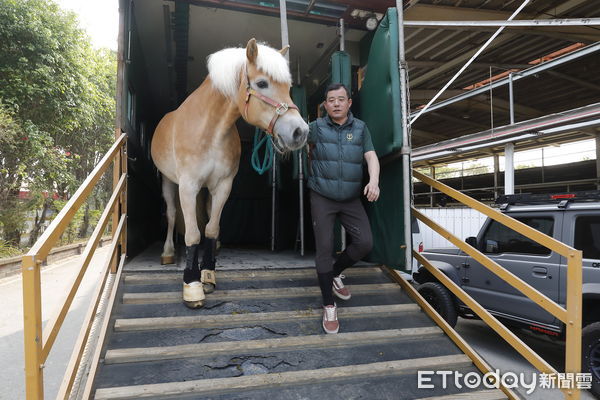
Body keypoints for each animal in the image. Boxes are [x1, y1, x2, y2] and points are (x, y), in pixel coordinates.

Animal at [150, 39, 310, 308]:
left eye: (288, 87)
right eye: (262, 83)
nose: (300, 132)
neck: (210, 128)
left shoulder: (223, 185)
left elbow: (211, 229)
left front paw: (207, 275)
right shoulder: (188, 185)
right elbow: (192, 234)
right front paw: (192, 285)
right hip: (169, 183)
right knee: (172, 216)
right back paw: (168, 252)